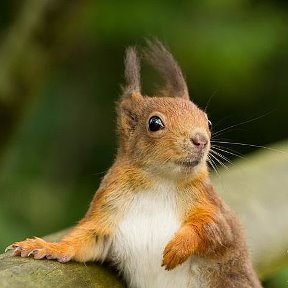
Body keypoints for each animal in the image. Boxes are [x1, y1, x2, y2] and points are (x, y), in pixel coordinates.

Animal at [6, 40, 260, 288]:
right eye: (154, 123)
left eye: (207, 121)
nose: (201, 140)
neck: (160, 182)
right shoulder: (107, 211)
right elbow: (82, 241)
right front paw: (45, 247)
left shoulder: (215, 209)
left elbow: (213, 228)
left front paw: (178, 247)